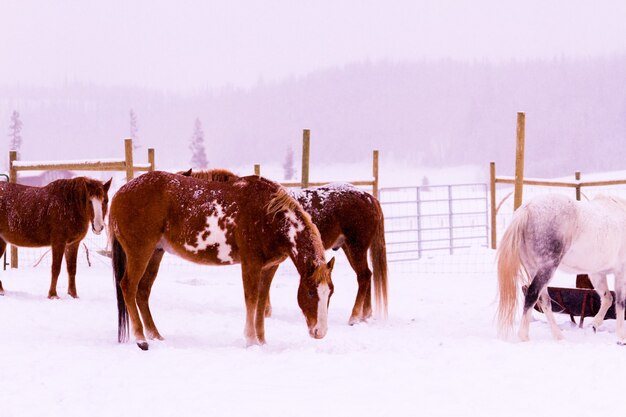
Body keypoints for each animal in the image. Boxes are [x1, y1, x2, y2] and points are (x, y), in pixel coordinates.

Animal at [109, 171, 334, 350]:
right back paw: (141, 339)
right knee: (128, 286)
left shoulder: (269, 267)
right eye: (311, 292)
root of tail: (120, 193)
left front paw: (262, 342)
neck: (269, 215)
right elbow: (251, 300)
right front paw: (251, 341)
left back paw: (155, 335)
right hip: (140, 252)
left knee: (142, 291)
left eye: (330, 292)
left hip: (156, 252)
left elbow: (262, 302)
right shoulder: (251, 264)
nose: (320, 332)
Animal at [185, 167, 388, 324]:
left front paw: (265, 311)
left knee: (363, 276)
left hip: (356, 247)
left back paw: (354, 317)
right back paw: (365, 314)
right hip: (349, 247)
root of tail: (370, 198)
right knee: (367, 275)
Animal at [498, 193, 626, 342]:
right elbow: (620, 302)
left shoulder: (597, 273)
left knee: (544, 301)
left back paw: (558, 336)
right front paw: (621, 336)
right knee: (532, 294)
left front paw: (595, 325)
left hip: (535, 270)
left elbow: (607, 299)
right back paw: (524, 336)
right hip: (547, 268)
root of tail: (527, 208)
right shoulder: (620, 272)